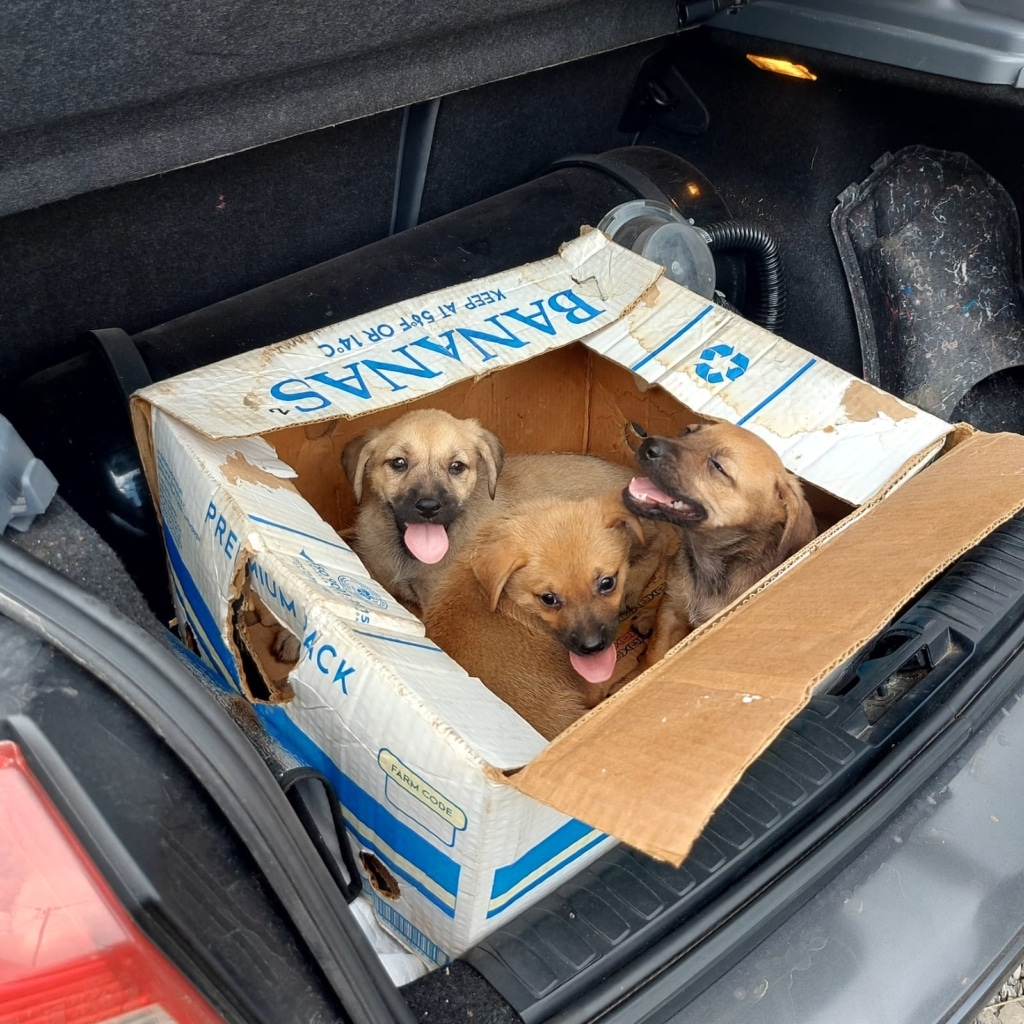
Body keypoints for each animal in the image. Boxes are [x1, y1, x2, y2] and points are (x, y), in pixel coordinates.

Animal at [618, 421, 819, 663]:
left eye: (718, 466)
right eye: (688, 431)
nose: (648, 444)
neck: (709, 561)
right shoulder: (670, 613)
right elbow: (654, 655)